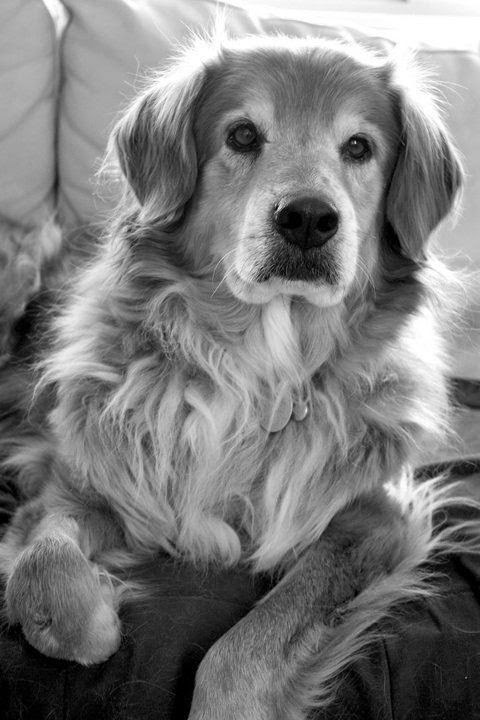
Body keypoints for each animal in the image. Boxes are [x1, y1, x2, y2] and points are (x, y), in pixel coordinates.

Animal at [0, 35, 476, 720]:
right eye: (243, 135)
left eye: (359, 147)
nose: (307, 218)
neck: (256, 368)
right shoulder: (79, 486)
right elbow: (42, 567)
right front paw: (91, 621)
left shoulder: (375, 516)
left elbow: (247, 647)